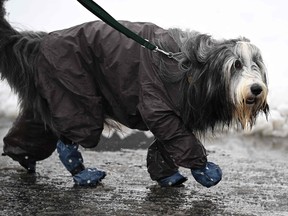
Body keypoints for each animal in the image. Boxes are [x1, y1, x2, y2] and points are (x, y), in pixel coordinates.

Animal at [1, 0, 268, 186]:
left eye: (255, 64)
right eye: (236, 65)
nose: (256, 89)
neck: (195, 71)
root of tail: (41, 42)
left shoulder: (176, 116)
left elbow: (165, 145)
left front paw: (168, 176)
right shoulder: (158, 106)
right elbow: (181, 141)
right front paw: (205, 171)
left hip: (50, 96)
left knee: (37, 127)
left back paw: (22, 155)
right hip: (75, 96)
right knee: (67, 139)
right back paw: (84, 175)